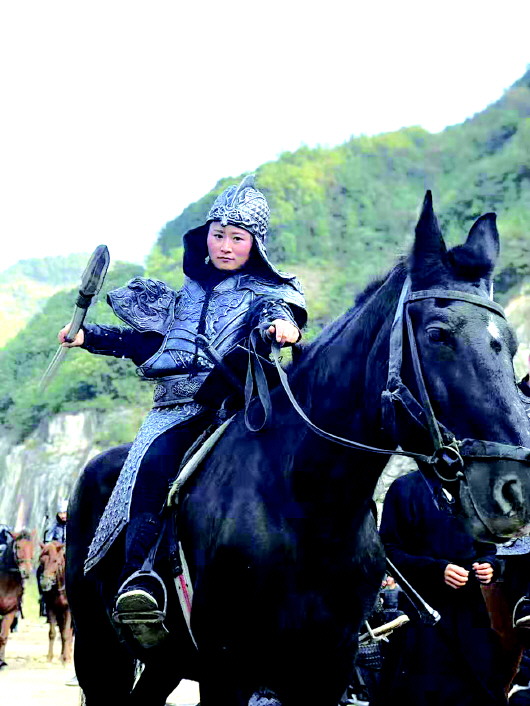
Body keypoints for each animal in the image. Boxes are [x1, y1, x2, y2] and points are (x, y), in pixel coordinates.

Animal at [66, 191, 530, 706]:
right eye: (437, 334)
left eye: (510, 344)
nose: (513, 490)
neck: (306, 502)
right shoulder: (227, 668)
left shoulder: (326, 668)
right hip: (96, 646)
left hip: (165, 663)